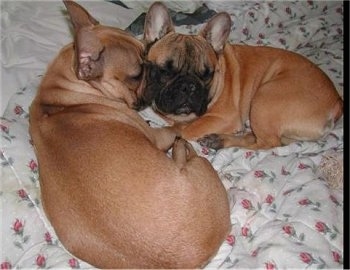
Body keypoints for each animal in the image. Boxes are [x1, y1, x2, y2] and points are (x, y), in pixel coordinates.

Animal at [28, 1, 231, 268]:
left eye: (147, 53)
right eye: (136, 75)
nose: (154, 73)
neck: (61, 96)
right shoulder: (156, 136)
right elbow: (174, 128)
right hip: (203, 167)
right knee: (188, 152)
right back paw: (182, 148)